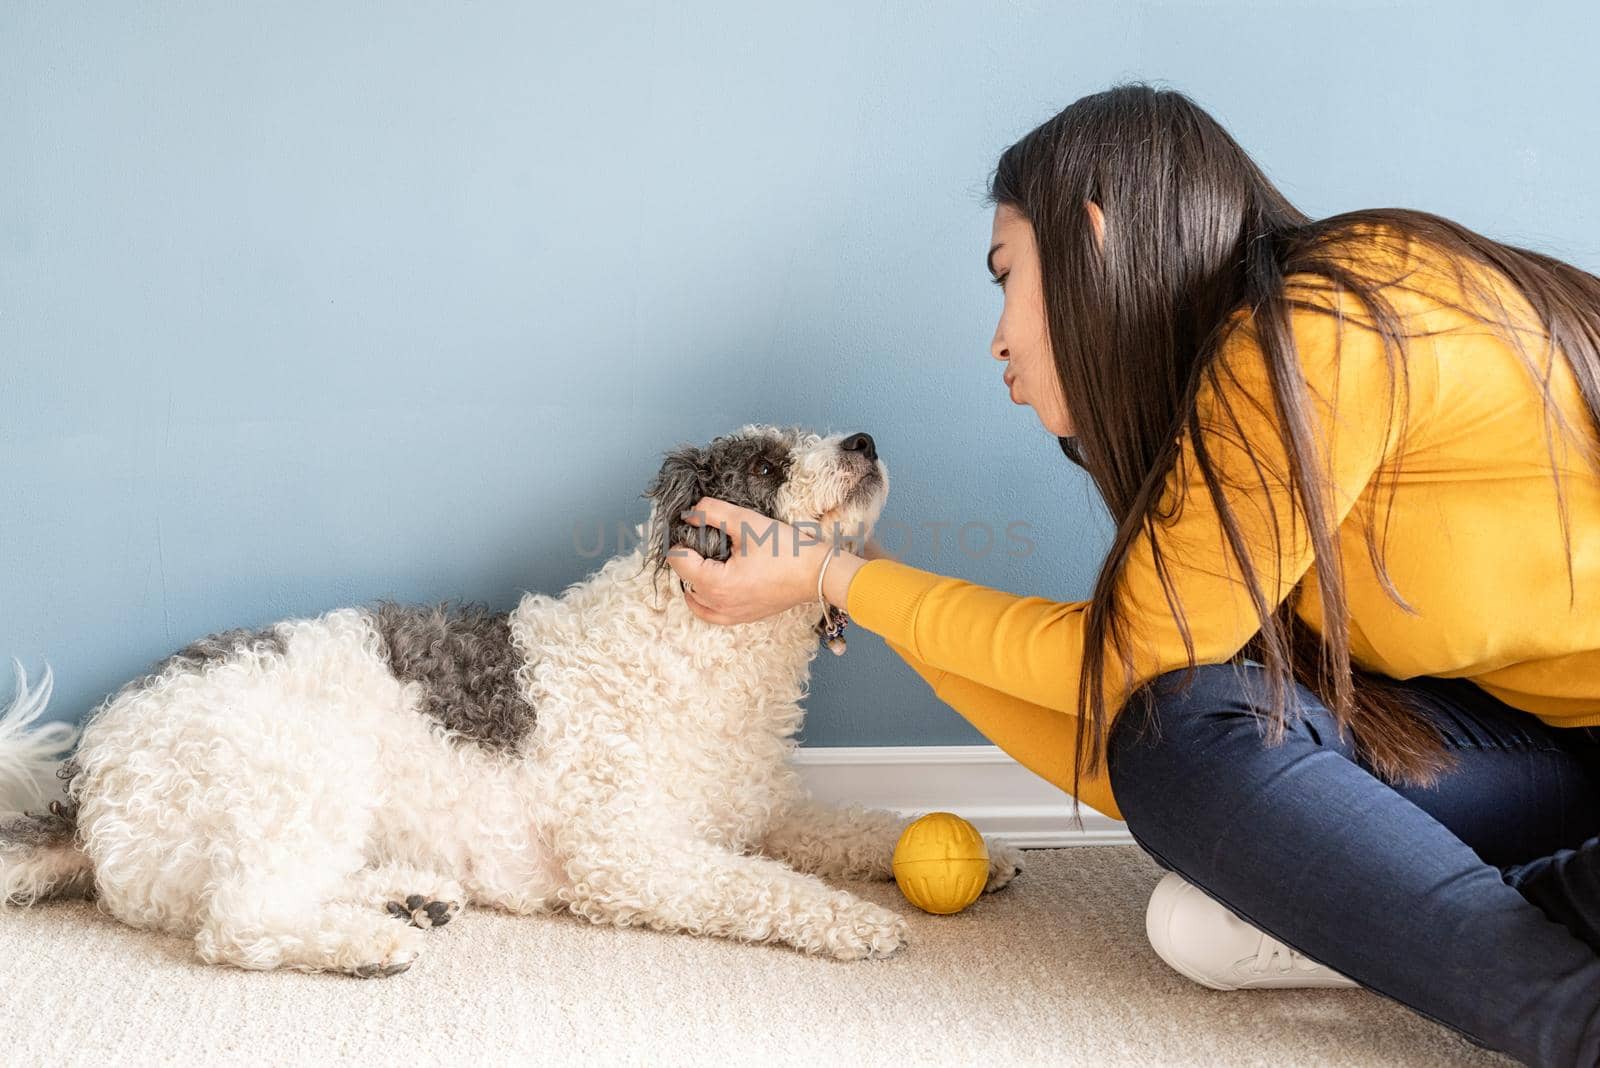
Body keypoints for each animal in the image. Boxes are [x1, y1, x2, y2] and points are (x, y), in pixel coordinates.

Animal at [0, 422, 1024, 978]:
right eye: (768, 468)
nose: (864, 441)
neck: (690, 646)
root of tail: (88, 775)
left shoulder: (766, 809)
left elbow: (860, 827)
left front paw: (982, 852)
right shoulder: (631, 858)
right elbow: (769, 887)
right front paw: (860, 921)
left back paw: (409, 898)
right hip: (298, 770)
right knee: (237, 921)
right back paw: (372, 944)